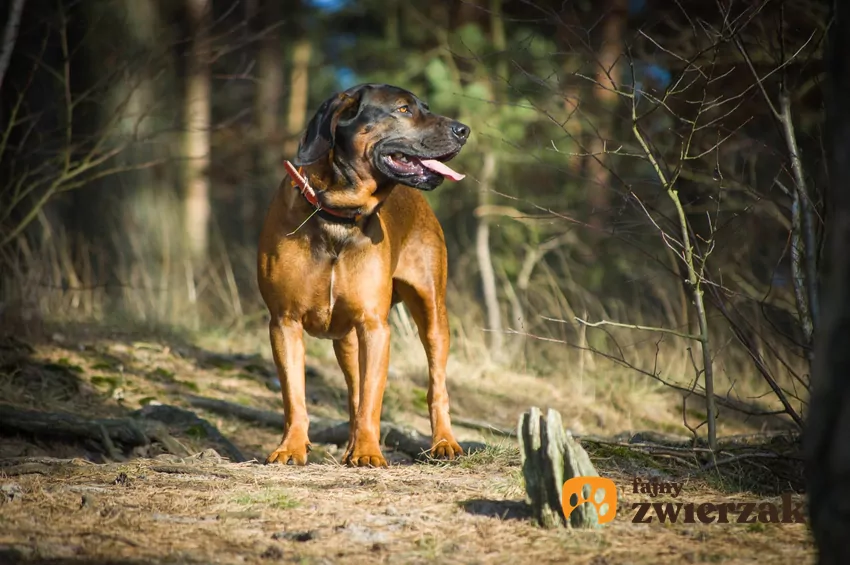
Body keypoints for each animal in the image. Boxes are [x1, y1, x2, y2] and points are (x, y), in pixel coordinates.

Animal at [256, 81, 470, 464]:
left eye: (425, 107)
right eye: (403, 109)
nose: (464, 130)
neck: (337, 213)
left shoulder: (375, 326)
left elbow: (372, 397)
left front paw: (369, 453)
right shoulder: (284, 322)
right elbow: (295, 395)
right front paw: (291, 447)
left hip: (433, 312)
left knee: (436, 385)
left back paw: (444, 442)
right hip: (345, 338)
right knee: (353, 390)